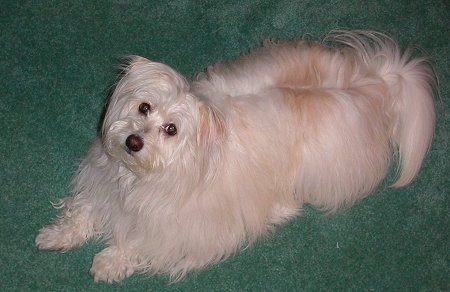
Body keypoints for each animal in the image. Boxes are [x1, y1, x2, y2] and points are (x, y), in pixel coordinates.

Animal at [36, 30, 436, 282]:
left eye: (171, 129)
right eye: (144, 107)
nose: (134, 141)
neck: (139, 178)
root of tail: (374, 85)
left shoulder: (179, 228)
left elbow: (137, 241)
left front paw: (108, 262)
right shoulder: (101, 184)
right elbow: (83, 210)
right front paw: (57, 235)